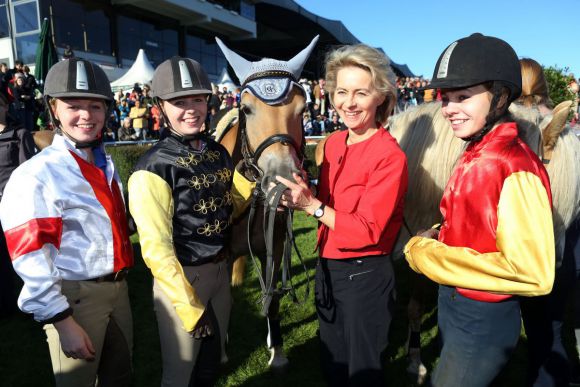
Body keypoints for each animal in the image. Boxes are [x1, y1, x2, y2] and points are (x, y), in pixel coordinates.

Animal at [215, 36, 320, 370]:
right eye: (247, 109)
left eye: (303, 109)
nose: (281, 179)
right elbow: (221, 301)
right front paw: (222, 351)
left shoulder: (274, 245)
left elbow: (272, 297)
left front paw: (278, 352)